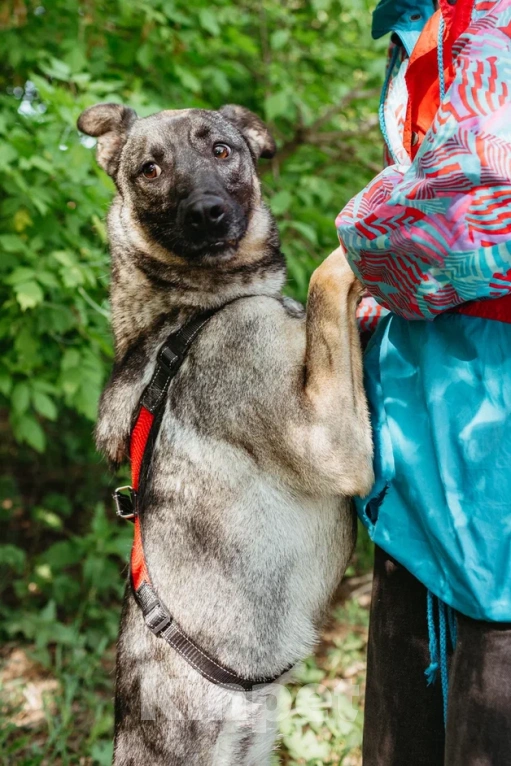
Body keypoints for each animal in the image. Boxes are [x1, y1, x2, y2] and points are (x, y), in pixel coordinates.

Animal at [78, 103, 374, 766]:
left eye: (221, 150)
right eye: (151, 169)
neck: (190, 312)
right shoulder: (330, 437)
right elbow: (326, 275)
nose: (207, 212)